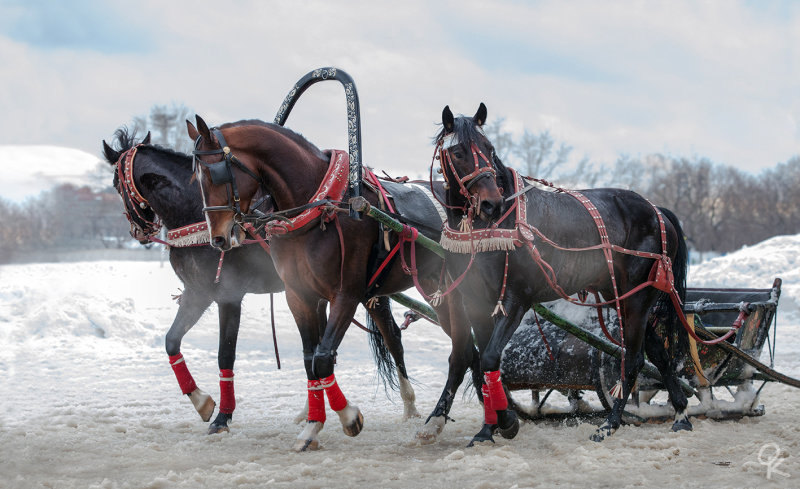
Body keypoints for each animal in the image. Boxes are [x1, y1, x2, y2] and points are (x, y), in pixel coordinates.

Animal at [100, 127, 418, 434]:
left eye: (116, 184)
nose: (138, 231)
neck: (196, 215)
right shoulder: (197, 292)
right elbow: (171, 341)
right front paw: (201, 401)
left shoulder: (228, 296)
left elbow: (225, 355)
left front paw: (223, 416)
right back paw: (311, 410)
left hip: (365, 290)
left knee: (393, 338)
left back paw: (409, 406)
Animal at [188, 115, 482, 450]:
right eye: (196, 177)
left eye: (216, 174)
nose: (218, 238)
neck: (318, 209)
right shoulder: (299, 296)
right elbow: (309, 359)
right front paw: (313, 424)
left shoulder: (346, 294)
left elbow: (323, 358)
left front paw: (348, 417)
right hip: (435, 288)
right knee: (461, 347)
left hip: (454, 291)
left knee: (460, 350)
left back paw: (445, 420)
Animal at [434, 103, 692, 442]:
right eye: (459, 152)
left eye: (489, 148)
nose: (492, 203)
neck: (495, 227)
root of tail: (657, 211)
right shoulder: (476, 302)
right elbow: (485, 364)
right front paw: (489, 428)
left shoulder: (517, 300)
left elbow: (489, 358)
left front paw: (506, 422)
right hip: (622, 298)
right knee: (659, 355)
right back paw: (681, 413)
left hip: (636, 299)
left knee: (634, 359)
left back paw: (611, 422)